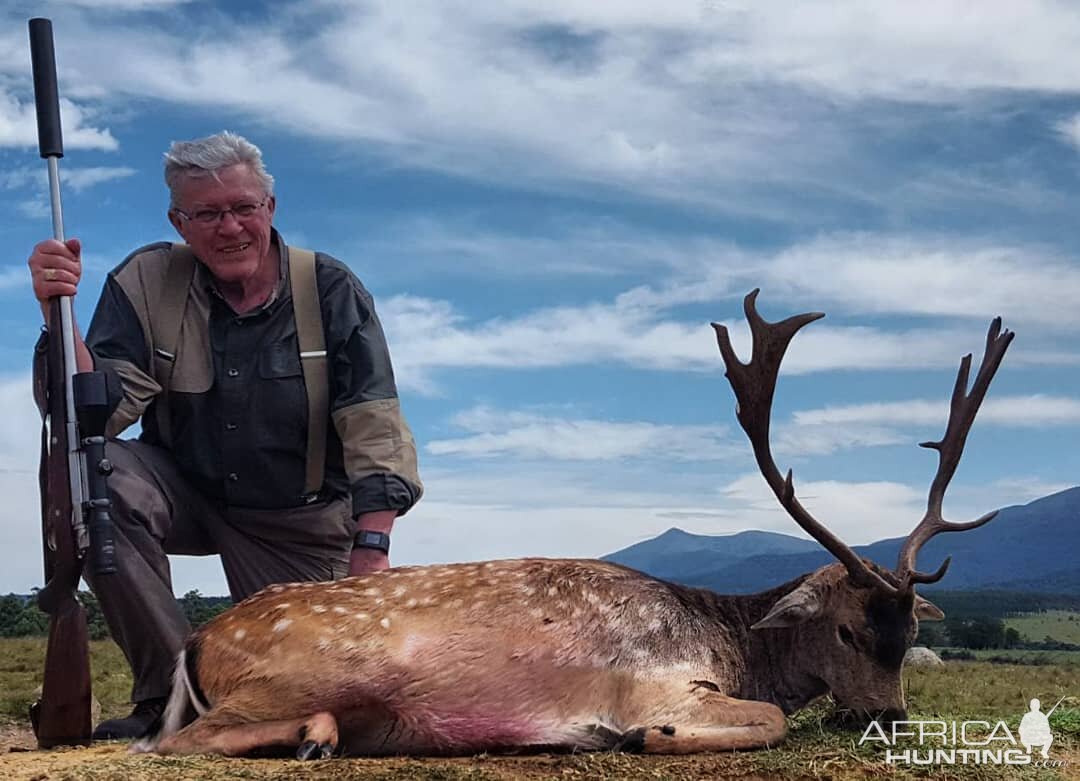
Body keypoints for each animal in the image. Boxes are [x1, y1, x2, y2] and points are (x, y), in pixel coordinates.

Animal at [132, 291, 1010, 756]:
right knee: (172, 740)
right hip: (305, 670)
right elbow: (765, 720)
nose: (893, 718)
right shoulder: (653, 681)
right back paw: (313, 733)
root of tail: (197, 641)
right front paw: (640, 738)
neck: (728, 635)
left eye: (910, 631)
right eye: (848, 630)